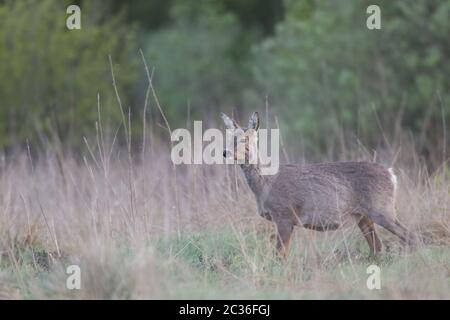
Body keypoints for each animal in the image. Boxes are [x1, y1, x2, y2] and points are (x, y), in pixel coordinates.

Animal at [220, 112, 416, 258]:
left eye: (245, 139)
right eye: (229, 138)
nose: (225, 152)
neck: (265, 184)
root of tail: (392, 175)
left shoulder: (284, 215)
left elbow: (280, 256)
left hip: (382, 208)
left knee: (410, 236)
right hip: (363, 216)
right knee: (377, 246)